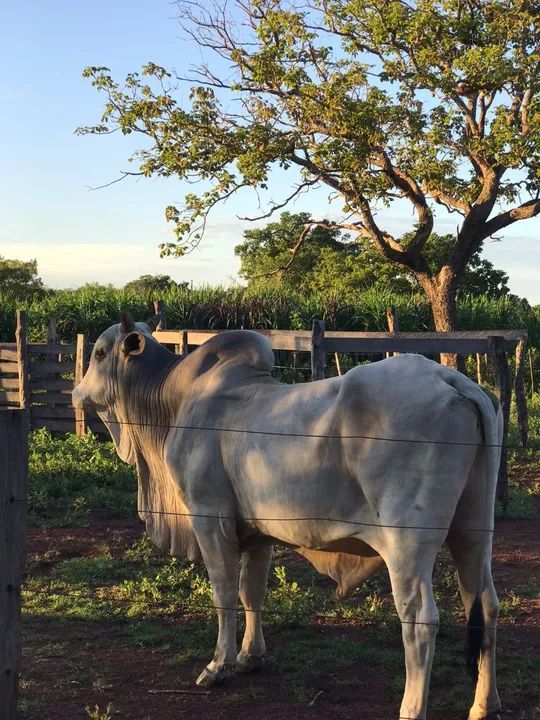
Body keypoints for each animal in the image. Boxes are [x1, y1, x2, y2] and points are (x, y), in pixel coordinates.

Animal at [71, 316, 502, 720]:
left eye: (100, 353)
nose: (77, 393)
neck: (171, 403)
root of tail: (453, 381)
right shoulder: (256, 532)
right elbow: (252, 592)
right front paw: (250, 656)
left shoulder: (209, 517)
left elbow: (224, 594)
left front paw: (219, 665)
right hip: (473, 532)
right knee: (484, 604)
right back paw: (485, 705)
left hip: (407, 544)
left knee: (420, 619)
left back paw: (412, 707)